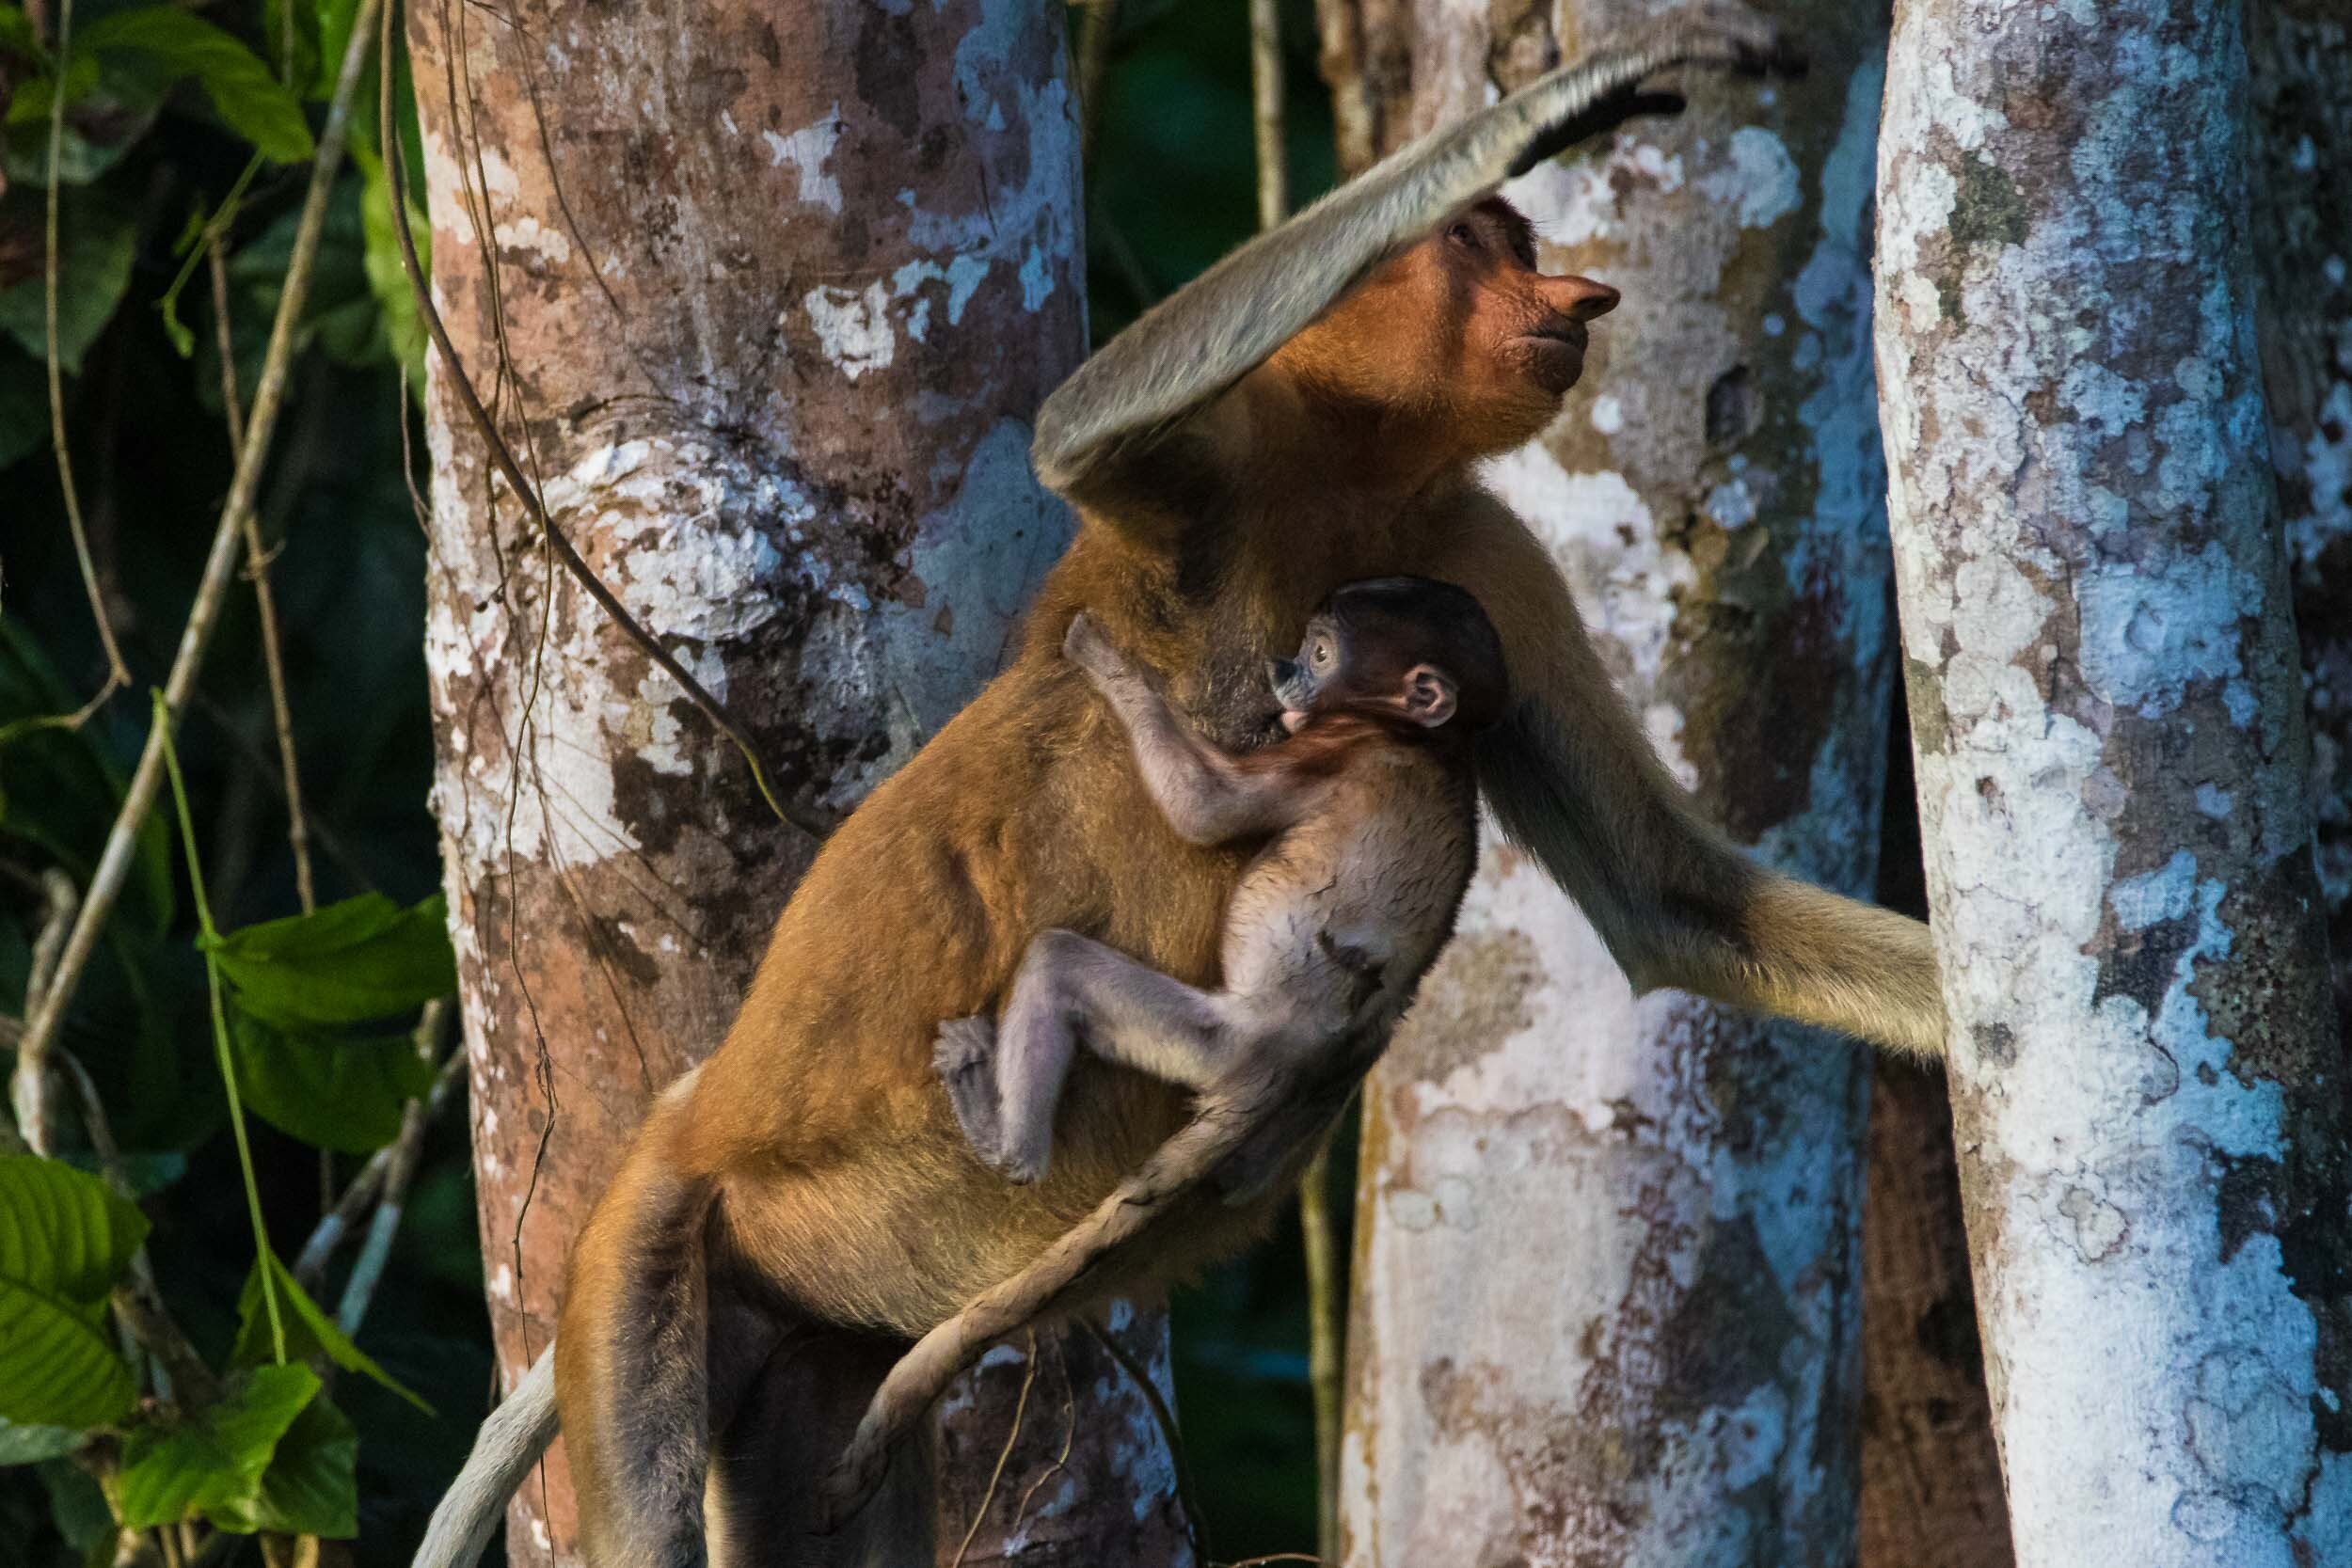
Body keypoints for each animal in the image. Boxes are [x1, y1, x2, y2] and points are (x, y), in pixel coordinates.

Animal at [936, 576, 1505, 1189]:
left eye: (1320, 655)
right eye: (1306, 648)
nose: (1280, 667)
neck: (1435, 743)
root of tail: (1287, 1074)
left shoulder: (1343, 744)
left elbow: (1206, 807)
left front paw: (1105, 660)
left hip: (1223, 1044)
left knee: (1056, 963)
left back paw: (1009, 1149)